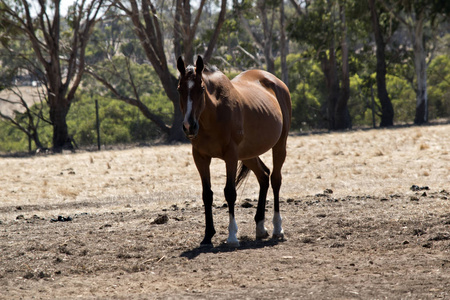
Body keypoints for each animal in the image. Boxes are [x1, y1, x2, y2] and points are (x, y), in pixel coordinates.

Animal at [176, 55, 292, 246]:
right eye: (180, 89)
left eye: (201, 88)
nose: (189, 126)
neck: (214, 114)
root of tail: (276, 81)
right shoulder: (200, 157)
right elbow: (207, 194)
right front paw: (207, 236)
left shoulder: (231, 155)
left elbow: (230, 192)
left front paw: (232, 236)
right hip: (248, 155)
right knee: (264, 176)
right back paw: (260, 227)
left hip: (279, 145)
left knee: (276, 179)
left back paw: (277, 228)